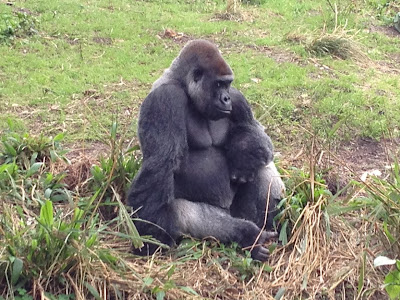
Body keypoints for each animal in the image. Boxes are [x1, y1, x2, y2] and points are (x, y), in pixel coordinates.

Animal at [128, 39, 284, 260]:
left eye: (227, 84)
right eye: (218, 84)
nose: (226, 98)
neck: (183, 84)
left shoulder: (238, 98)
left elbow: (257, 133)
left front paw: (242, 155)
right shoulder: (164, 99)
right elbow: (161, 164)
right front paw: (148, 236)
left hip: (241, 211)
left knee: (263, 165)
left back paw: (263, 224)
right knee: (186, 213)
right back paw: (247, 234)